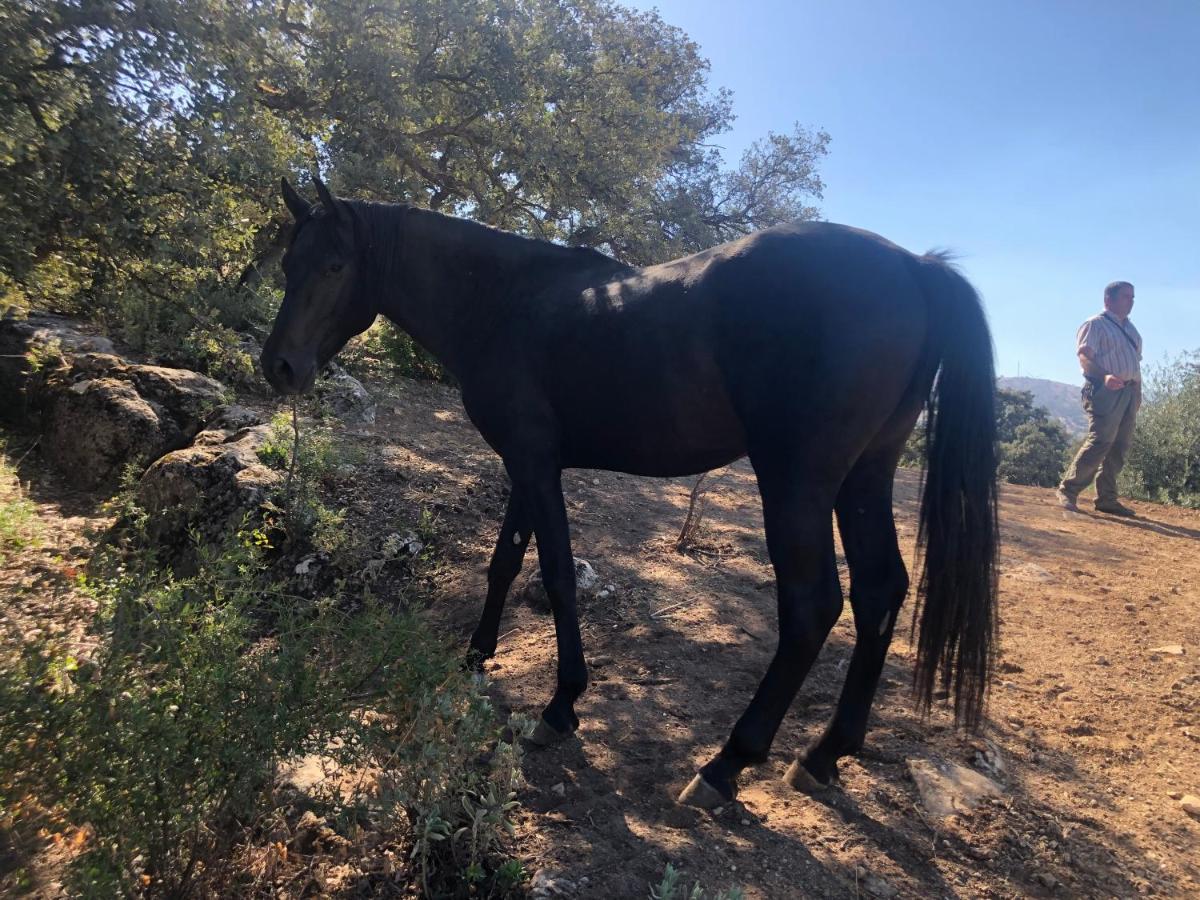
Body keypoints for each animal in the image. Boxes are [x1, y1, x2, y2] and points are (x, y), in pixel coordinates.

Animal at [265, 177, 1003, 811]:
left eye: (335, 266)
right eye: (287, 265)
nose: (279, 366)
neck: (504, 301)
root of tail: (911, 266)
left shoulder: (537, 466)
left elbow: (557, 576)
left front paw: (560, 706)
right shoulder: (526, 464)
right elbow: (504, 562)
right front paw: (475, 657)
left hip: (797, 482)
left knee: (813, 608)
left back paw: (725, 766)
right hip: (865, 476)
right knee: (880, 592)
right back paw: (824, 756)